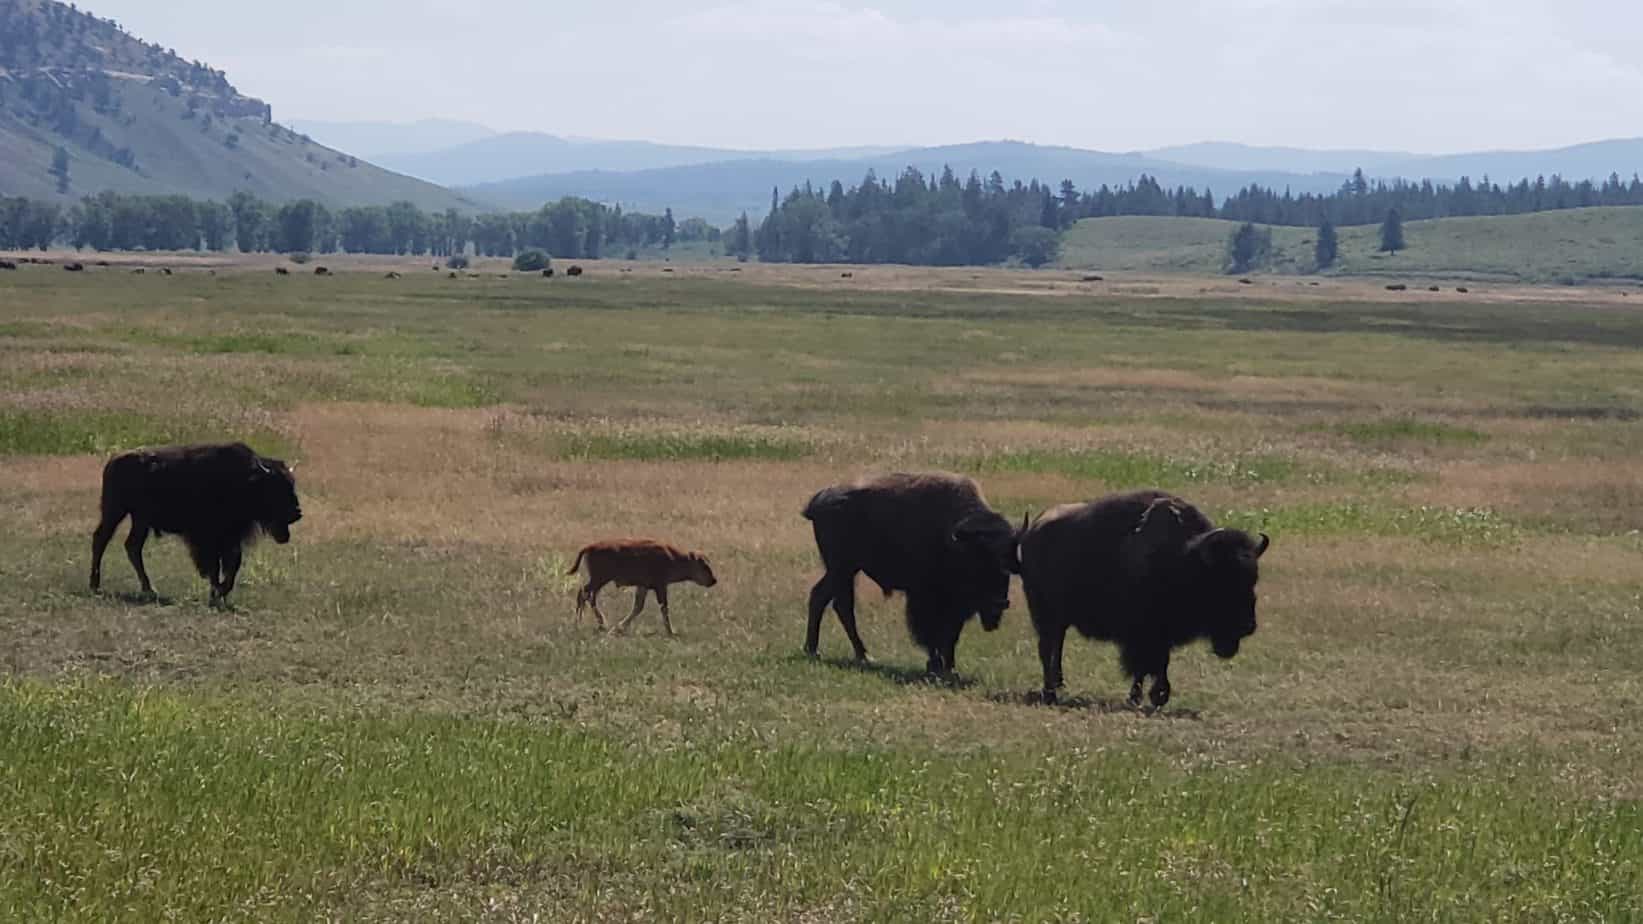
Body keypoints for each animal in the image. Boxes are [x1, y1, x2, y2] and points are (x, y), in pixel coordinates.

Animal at [90, 440, 305, 605]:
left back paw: (149, 589)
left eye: (292, 483)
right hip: (115, 512)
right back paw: (96, 585)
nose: (297, 513)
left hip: (140, 520)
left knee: (132, 547)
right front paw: (217, 593)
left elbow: (232, 564)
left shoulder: (229, 539)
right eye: (275, 487)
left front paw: (219, 594)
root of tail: (114, 460)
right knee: (101, 539)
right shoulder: (208, 538)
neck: (246, 479)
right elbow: (214, 566)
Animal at [568, 532, 716, 631]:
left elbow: (638, 607)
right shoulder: (660, 586)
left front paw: (620, 627)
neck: (674, 558)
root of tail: (589, 547)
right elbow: (664, 607)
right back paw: (591, 622)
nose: (714, 580)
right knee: (585, 594)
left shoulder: (643, 586)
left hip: (599, 580)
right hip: (600, 579)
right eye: (704, 566)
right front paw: (671, 631)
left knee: (588, 595)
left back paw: (591, 622)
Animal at [805, 470, 1018, 674]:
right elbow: (932, 633)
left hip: (845, 570)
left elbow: (951, 635)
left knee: (826, 599)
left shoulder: (954, 606)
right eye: (979, 562)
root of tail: (818, 501)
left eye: (1008, 565)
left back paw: (829, 651)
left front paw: (950, 668)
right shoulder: (926, 599)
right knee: (838, 604)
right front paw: (936, 665)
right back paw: (848, 654)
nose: (999, 604)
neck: (956, 543)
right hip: (842, 569)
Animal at [1018, 489, 1274, 703]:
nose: (1248, 626)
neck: (1184, 557)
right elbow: (1149, 663)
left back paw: (1059, 686)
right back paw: (1050, 692)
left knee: (1056, 647)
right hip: (1045, 615)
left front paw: (1151, 695)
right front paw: (1151, 695)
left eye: (1253, 579)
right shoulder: (1143, 633)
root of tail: (1033, 530)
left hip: (1059, 619)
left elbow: (1157, 663)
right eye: (1222, 582)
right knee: (1046, 649)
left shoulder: (1160, 634)